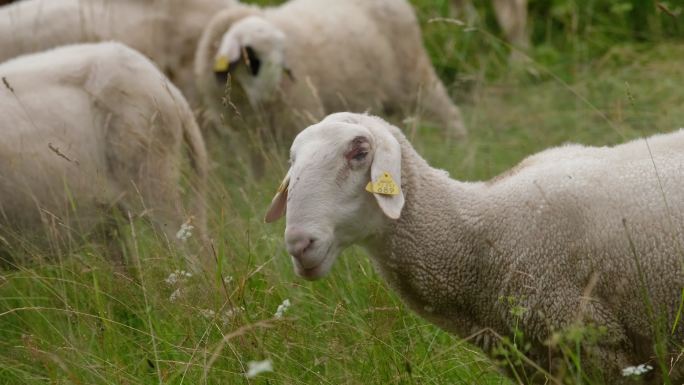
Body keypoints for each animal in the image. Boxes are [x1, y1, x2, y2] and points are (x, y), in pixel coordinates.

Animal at [195, 0, 468, 141]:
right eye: (251, 58)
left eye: (282, 57)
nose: (268, 98)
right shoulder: (248, 141)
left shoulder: (299, 118)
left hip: (415, 76)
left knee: (448, 113)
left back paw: (458, 145)